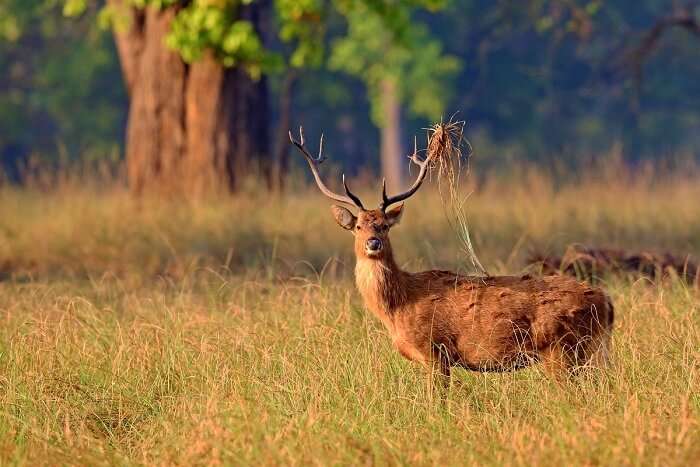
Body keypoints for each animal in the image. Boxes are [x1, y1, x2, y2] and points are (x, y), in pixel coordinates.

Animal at [288, 127, 612, 380]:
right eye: (357, 226)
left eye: (383, 225)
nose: (372, 243)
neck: (399, 305)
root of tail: (607, 303)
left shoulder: (436, 350)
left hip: (562, 349)